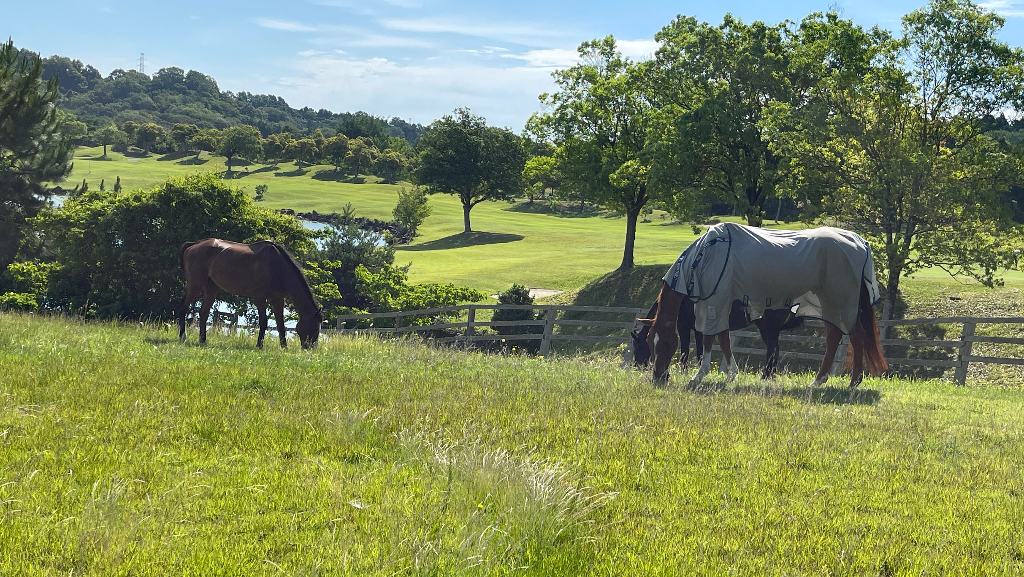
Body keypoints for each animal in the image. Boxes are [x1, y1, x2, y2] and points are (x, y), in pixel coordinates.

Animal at [176, 237, 319, 348]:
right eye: (314, 326)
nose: (310, 348)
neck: (277, 266)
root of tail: (194, 244)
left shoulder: (277, 299)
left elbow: (280, 324)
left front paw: (284, 347)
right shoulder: (260, 298)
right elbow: (263, 321)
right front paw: (259, 345)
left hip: (212, 288)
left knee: (203, 313)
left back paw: (203, 340)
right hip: (195, 285)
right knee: (183, 307)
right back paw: (183, 336)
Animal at [638, 223, 888, 391]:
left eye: (666, 343)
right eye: (649, 341)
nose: (658, 376)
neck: (705, 256)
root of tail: (860, 243)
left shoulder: (714, 305)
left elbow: (709, 341)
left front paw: (699, 375)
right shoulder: (720, 308)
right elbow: (724, 340)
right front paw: (730, 374)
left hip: (841, 304)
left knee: (856, 336)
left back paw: (853, 382)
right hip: (829, 306)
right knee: (834, 337)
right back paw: (818, 380)